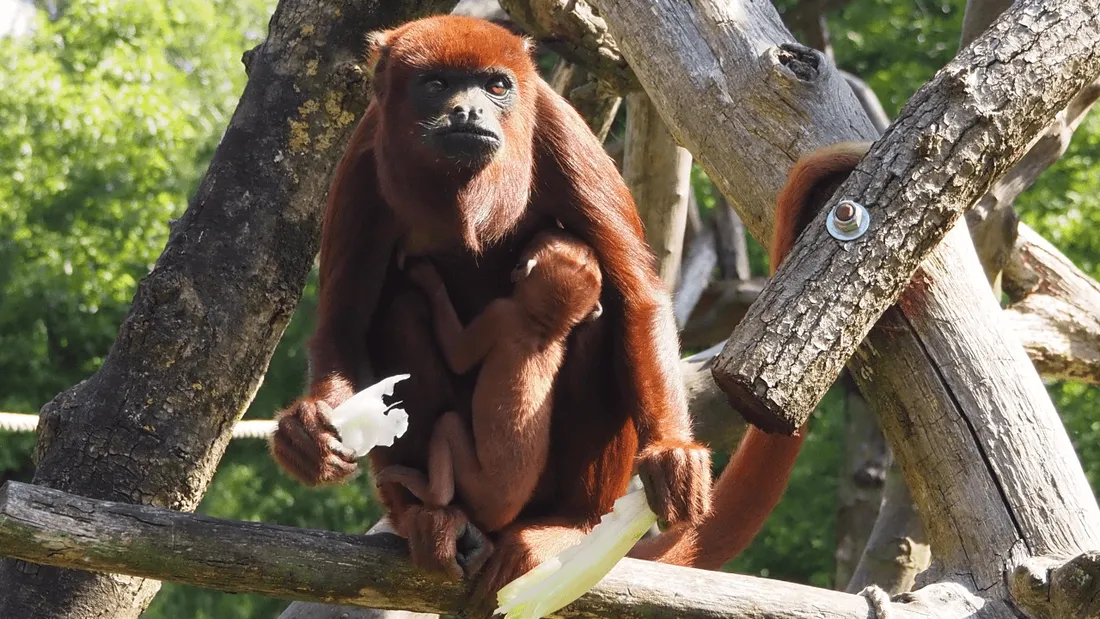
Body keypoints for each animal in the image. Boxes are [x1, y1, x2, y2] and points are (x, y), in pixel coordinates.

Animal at [375, 229, 604, 544]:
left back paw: (428, 492)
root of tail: (498, 517)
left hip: (476, 484)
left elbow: (458, 357)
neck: (543, 328)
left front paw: (428, 278)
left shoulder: (501, 314)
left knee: (447, 427)